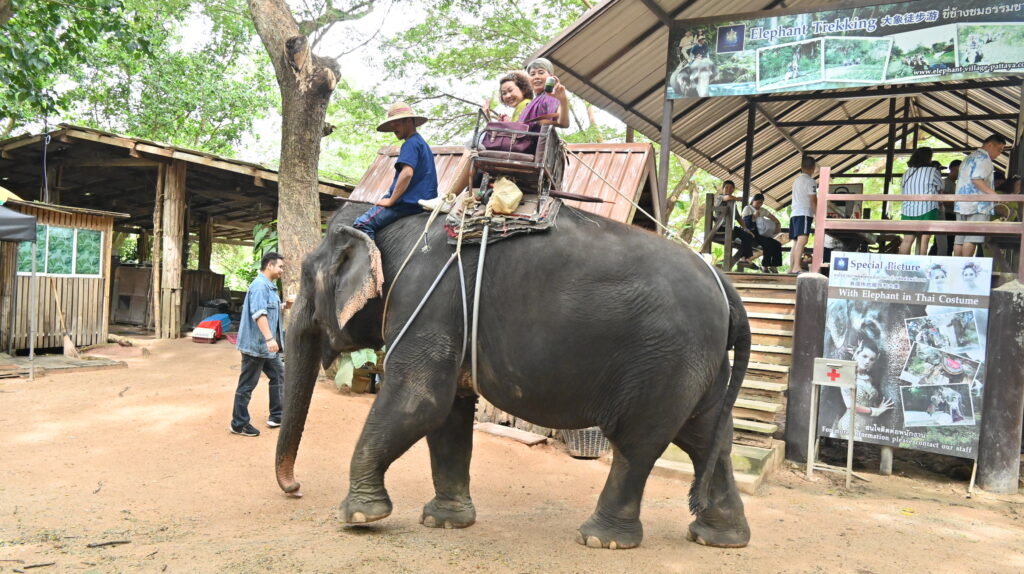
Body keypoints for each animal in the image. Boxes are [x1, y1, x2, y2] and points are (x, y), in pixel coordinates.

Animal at [275, 201, 753, 550]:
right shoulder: (447, 316)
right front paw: (444, 522)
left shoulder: (427, 301)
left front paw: (358, 516)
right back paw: (719, 538)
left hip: (665, 360)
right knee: (708, 437)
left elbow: (419, 400)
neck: (391, 228)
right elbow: (448, 414)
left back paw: (602, 540)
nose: (295, 488)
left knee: (639, 444)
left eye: (306, 276)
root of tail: (727, 287)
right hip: (699, 365)